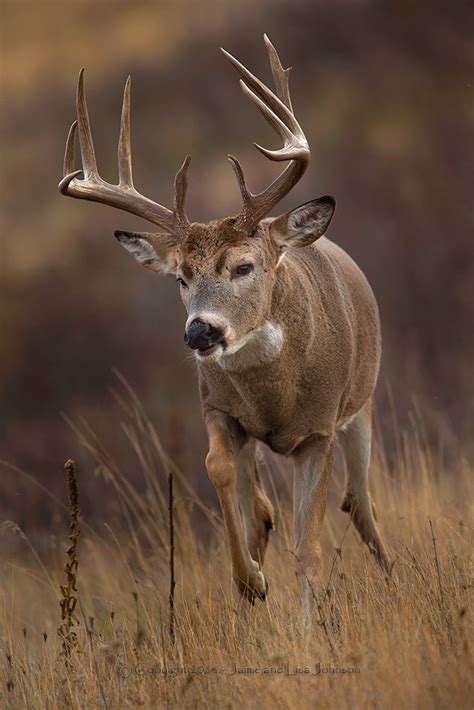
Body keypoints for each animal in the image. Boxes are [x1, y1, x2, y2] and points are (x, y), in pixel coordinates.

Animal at [59, 34, 390, 624]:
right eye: (181, 278)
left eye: (244, 266)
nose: (200, 334)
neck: (278, 398)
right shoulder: (218, 408)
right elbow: (220, 473)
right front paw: (251, 581)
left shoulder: (321, 429)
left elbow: (309, 544)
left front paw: (307, 627)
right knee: (262, 508)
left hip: (363, 406)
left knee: (361, 506)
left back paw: (394, 582)